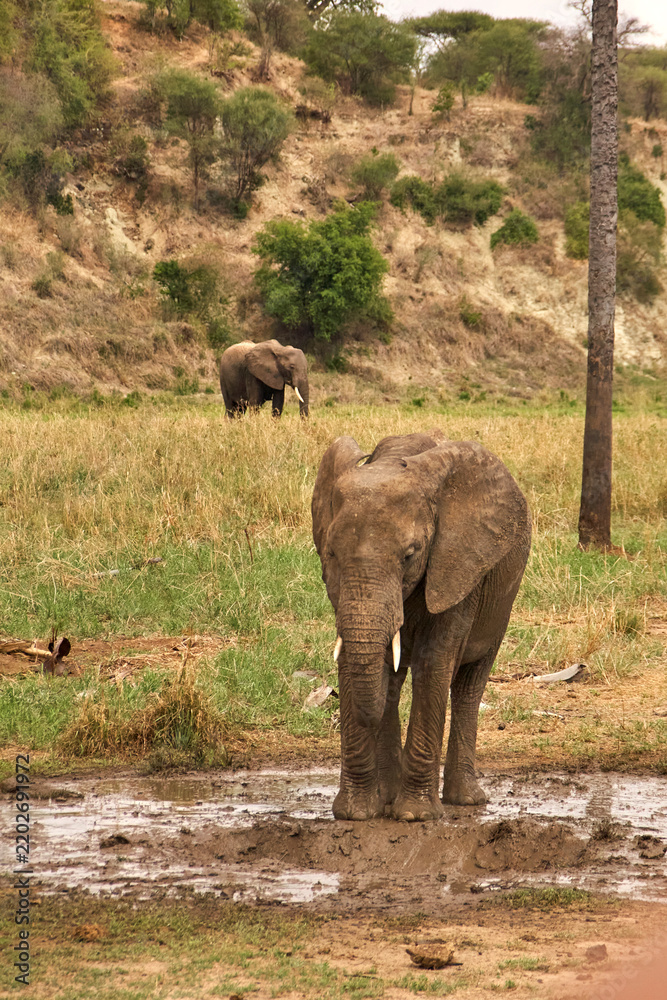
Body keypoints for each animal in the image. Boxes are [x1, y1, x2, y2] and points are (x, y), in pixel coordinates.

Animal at [311, 430, 531, 822]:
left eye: (410, 555)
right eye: (331, 553)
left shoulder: (457, 564)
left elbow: (434, 662)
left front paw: (414, 815)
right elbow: (354, 660)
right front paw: (357, 813)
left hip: (502, 600)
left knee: (469, 686)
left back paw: (465, 800)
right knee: (396, 685)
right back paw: (388, 796)